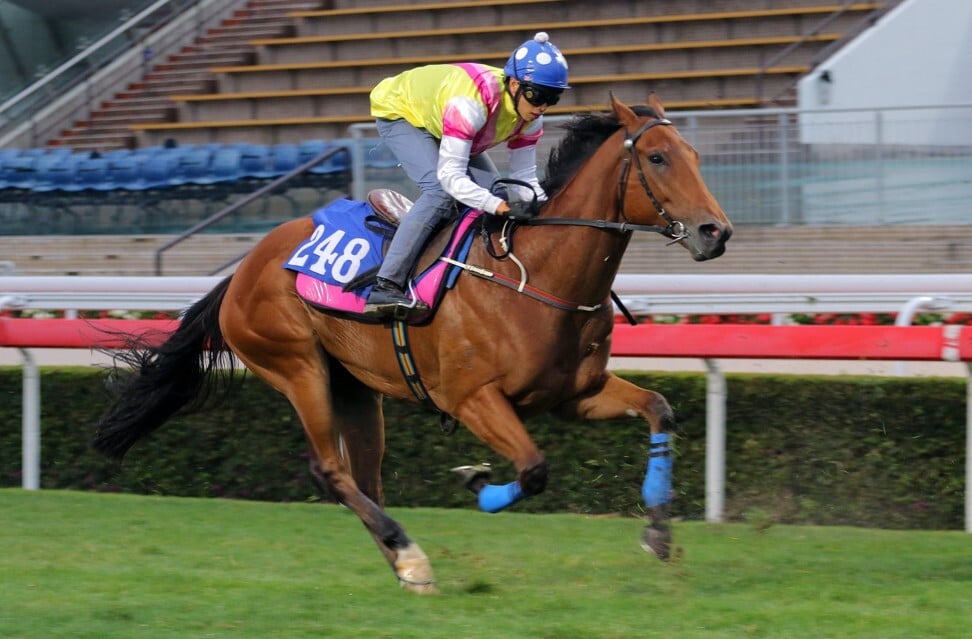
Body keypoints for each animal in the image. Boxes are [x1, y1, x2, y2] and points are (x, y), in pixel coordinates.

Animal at [93, 95, 728, 596]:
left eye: (697, 157)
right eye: (657, 157)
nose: (715, 232)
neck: (537, 276)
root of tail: (241, 270)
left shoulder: (576, 393)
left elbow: (659, 411)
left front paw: (657, 534)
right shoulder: (474, 399)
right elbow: (533, 469)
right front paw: (477, 482)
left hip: (353, 385)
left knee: (363, 479)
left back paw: (404, 563)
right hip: (297, 367)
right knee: (330, 471)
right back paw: (411, 555)